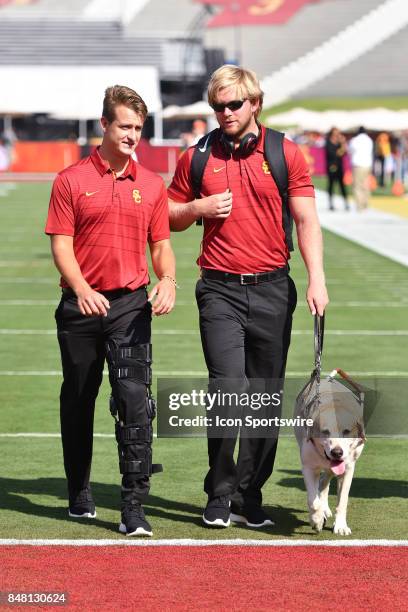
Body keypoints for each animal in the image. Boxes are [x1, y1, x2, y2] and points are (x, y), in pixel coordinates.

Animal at [294, 316, 364, 536]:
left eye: (347, 431)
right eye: (324, 431)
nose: (337, 452)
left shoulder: (348, 467)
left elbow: (343, 500)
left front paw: (340, 526)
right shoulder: (308, 465)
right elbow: (312, 499)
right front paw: (316, 519)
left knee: (326, 480)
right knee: (322, 483)